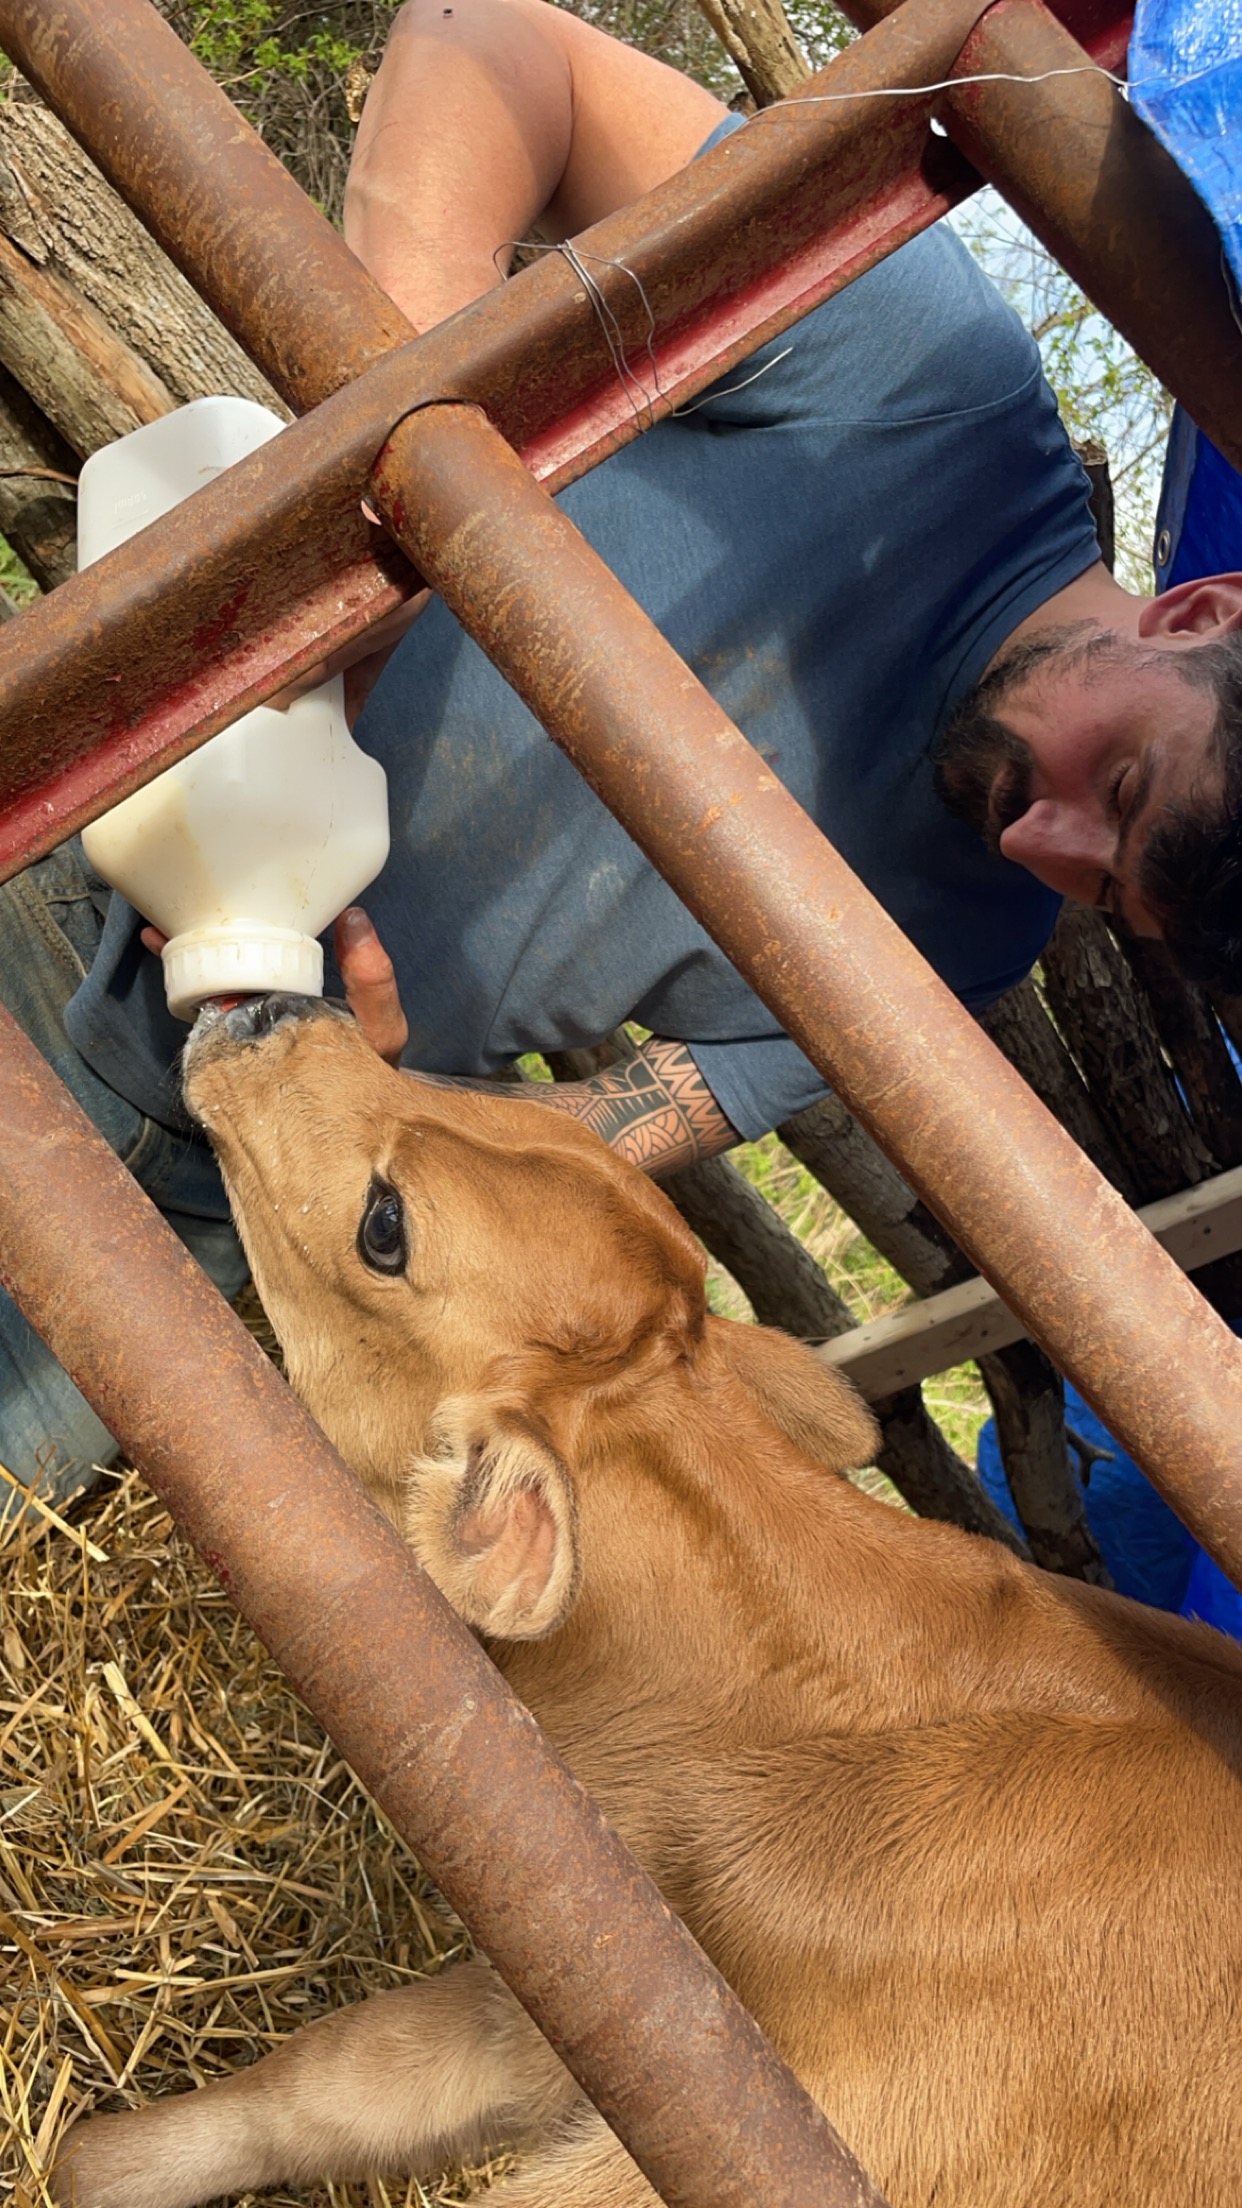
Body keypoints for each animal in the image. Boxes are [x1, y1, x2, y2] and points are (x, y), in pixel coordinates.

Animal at [53, 998, 1237, 2208]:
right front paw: (78, 2161)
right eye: (500, 1098)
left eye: (387, 1227)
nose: (268, 1006)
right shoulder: (602, 1978)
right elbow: (328, 2081)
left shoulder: (736, 2123)